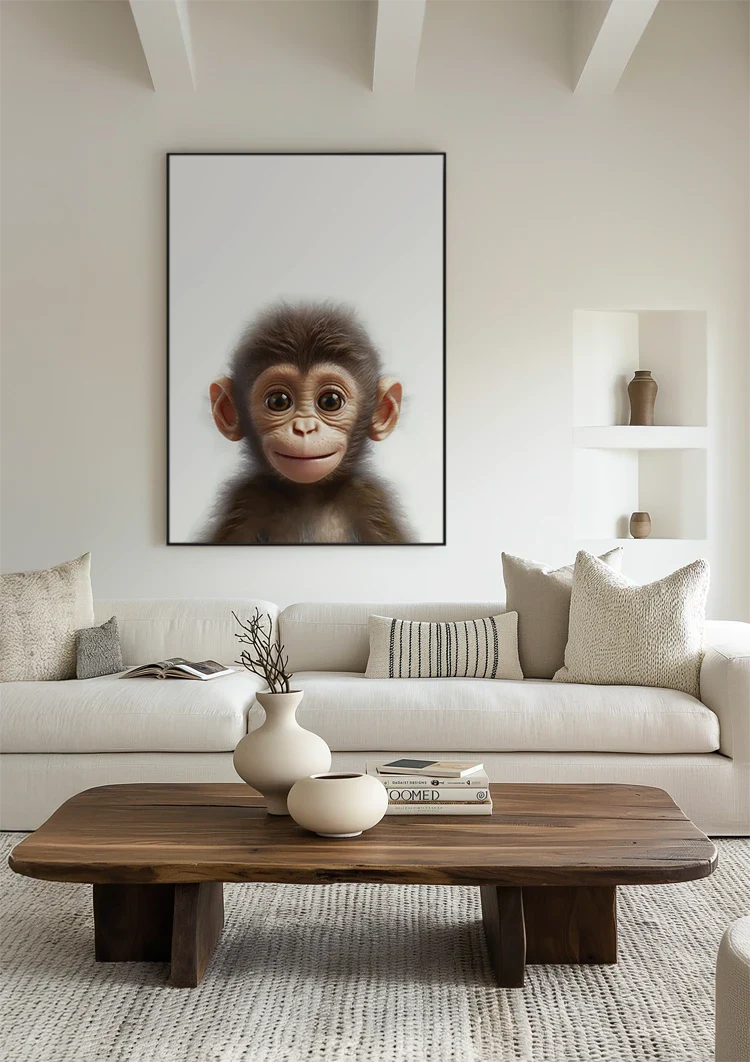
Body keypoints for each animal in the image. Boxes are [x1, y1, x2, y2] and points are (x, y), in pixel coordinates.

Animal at [204, 301, 414, 544]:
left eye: (330, 401)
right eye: (278, 401)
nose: (304, 429)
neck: (308, 496)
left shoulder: (370, 501)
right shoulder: (247, 501)